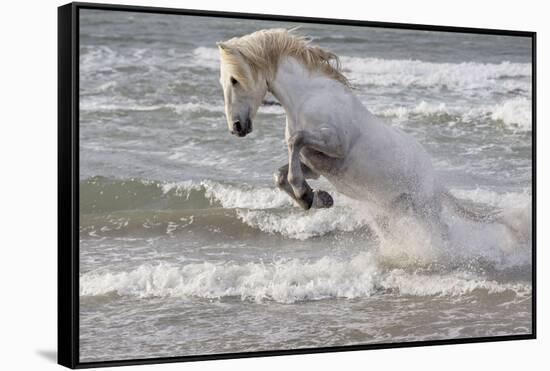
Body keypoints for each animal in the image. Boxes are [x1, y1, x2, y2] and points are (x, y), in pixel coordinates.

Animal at [216, 27, 492, 228]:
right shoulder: (314, 164)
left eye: (235, 80)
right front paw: (318, 199)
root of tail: (434, 179)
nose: (236, 127)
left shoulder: (335, 144)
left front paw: (305, 194)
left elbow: (295, 140)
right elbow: (279, 174)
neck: (309, 98)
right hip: (397, 209)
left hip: (424, 209)